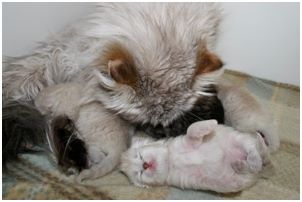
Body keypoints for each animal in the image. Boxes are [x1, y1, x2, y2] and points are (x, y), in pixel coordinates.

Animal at [120, 120, 272, 193]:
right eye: (139, 173)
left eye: (139, 156)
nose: (145, 165)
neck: (170, 161)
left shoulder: (187, 141)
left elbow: (191, 129)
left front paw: (211, 123)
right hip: (244, 177)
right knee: (255, 165)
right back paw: (240, 164)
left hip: (241, 139)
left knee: (255, 151)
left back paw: (254, 154)